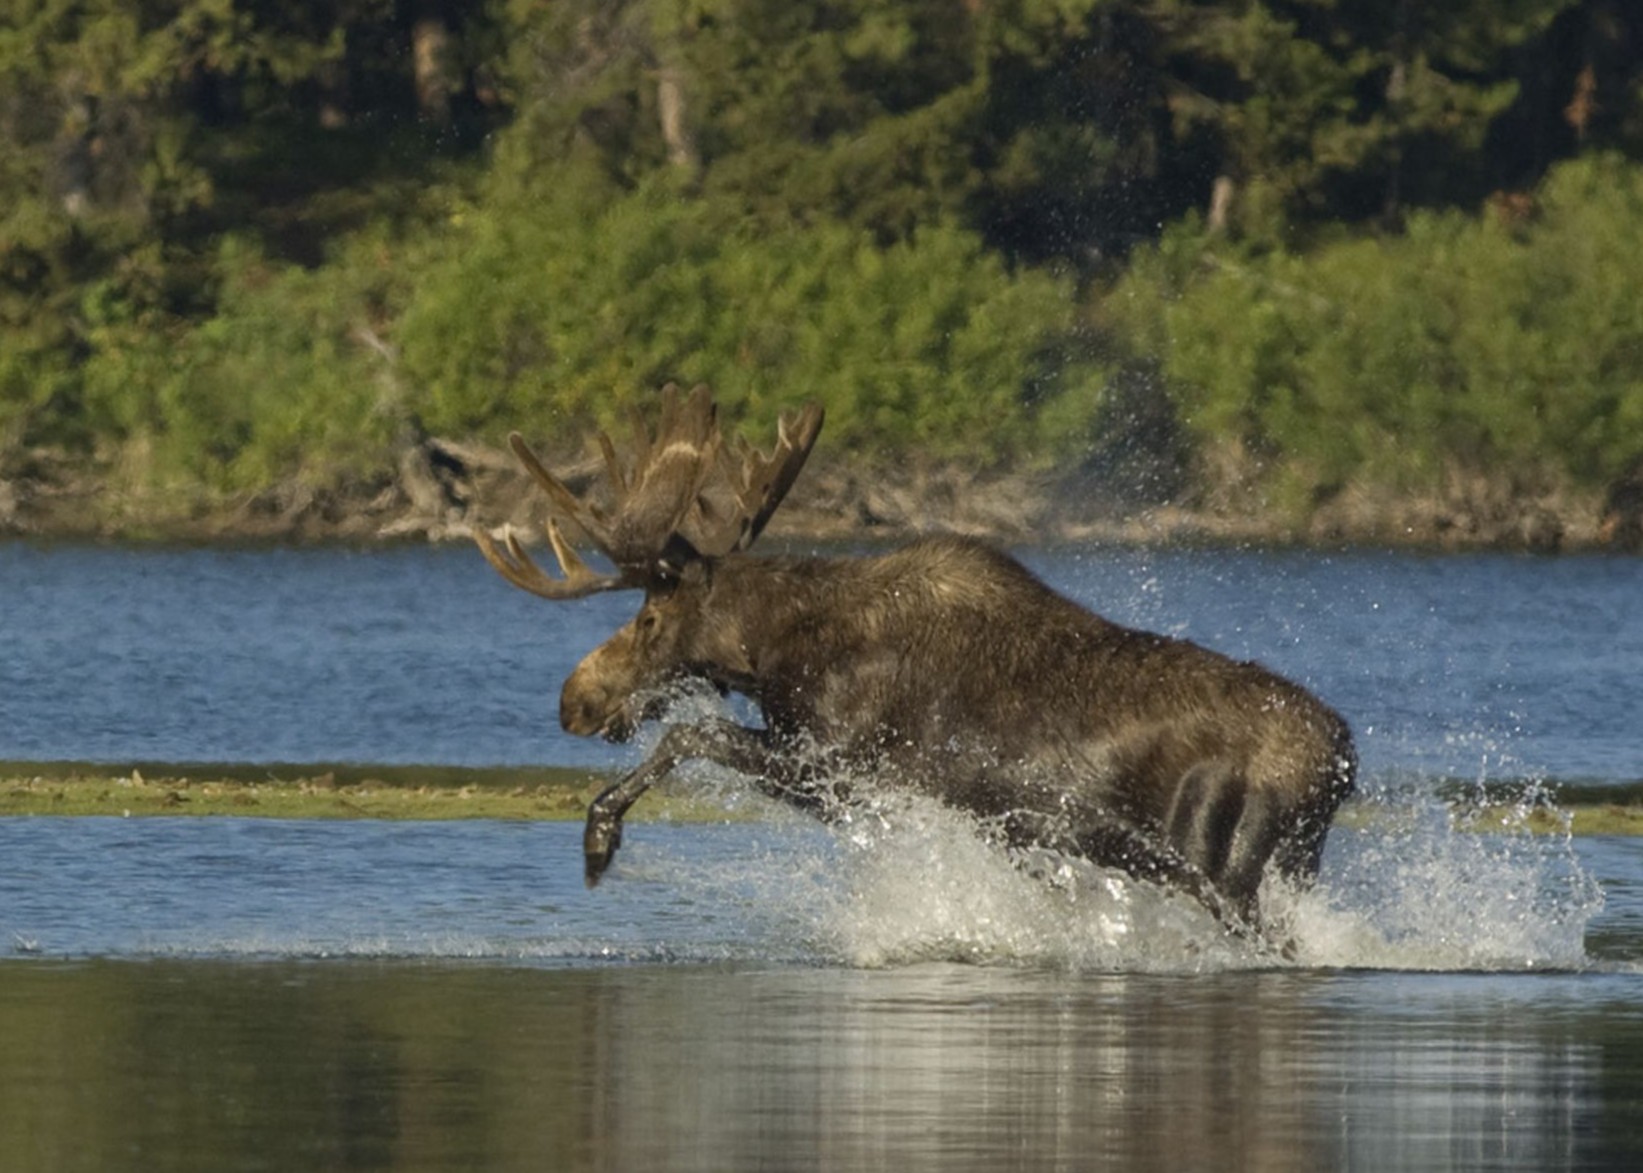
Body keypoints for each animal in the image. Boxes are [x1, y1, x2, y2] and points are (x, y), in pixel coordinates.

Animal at [476, 384, 1357, 941]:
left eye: (651, 616)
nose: (574, 699)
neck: (776, 649)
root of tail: (1340, 759)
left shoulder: (843, 766)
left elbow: (691, 737)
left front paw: (599, 838)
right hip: (1289, 865)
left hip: (1218, 857)